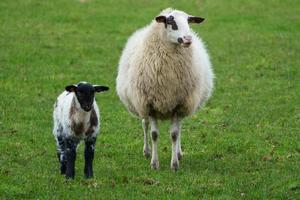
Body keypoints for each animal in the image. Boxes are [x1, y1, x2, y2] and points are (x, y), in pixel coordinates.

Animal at [116, 8, 214, 170]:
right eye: (170, 21)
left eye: (189, 22)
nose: (188, 39)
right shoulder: (149, 105)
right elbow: (154, 134)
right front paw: (154, 163)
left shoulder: (179, 105)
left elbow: (174, 134)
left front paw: (174, 164)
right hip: (140, 103)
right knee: (144, 124)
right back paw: (147, 151)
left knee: (178, 129)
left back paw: (179, 153)